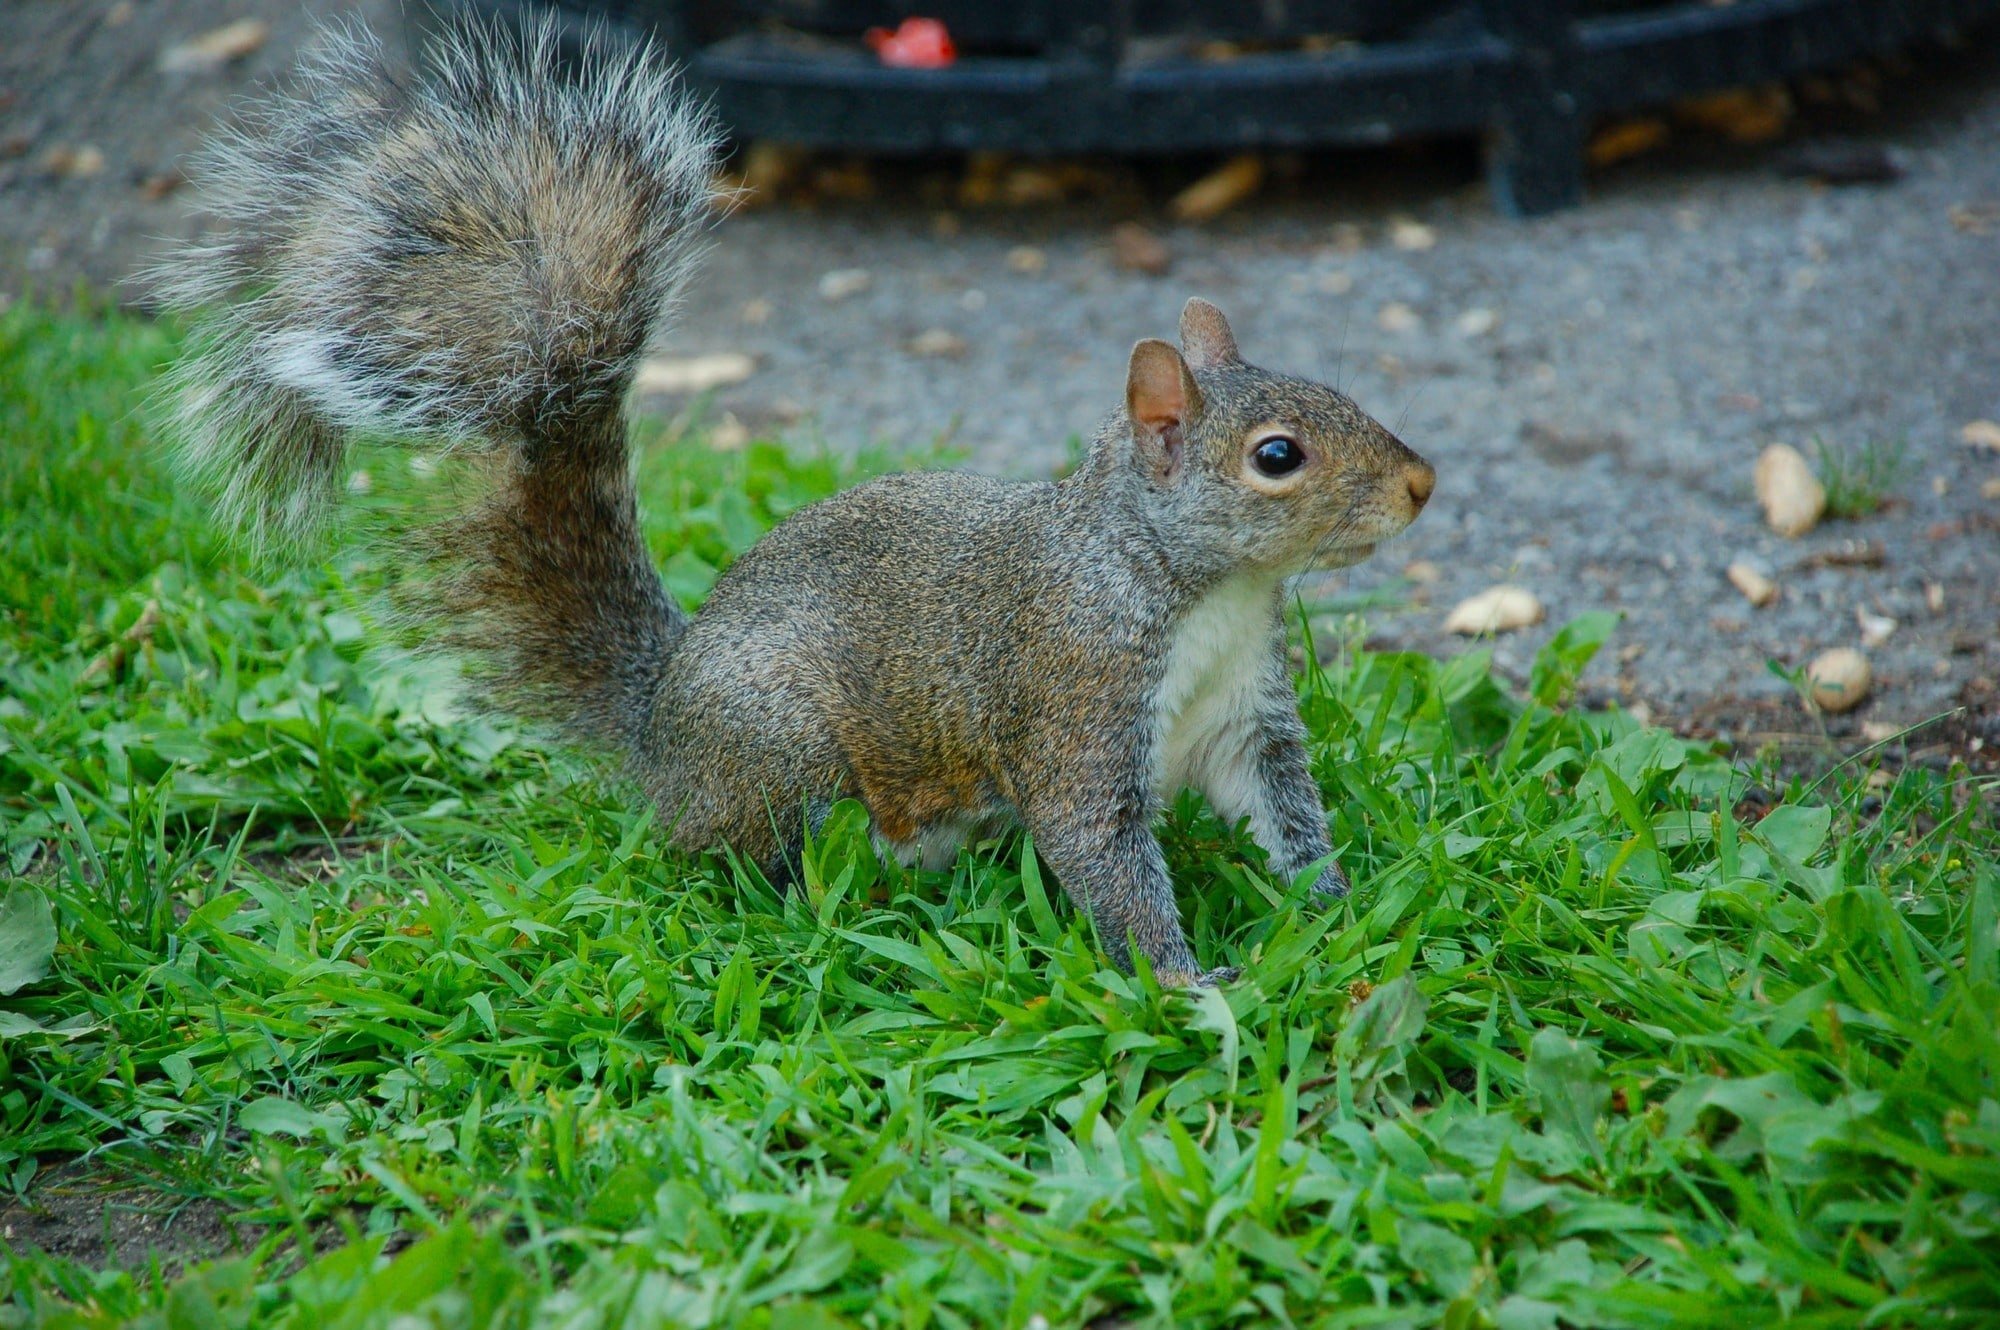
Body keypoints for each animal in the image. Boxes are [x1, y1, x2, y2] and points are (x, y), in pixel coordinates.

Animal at [160, 13, 1440, 984]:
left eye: (1335, 390)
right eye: (1276, 456)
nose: (1421, 483)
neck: (1198, 589)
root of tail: (660, 722)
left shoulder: (1245, 719)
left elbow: (1283, 810)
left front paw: (1335, 904)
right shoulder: (1073, 699)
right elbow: (1102, 856)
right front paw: (1186, 981)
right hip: (784, 745)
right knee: (740, 855)